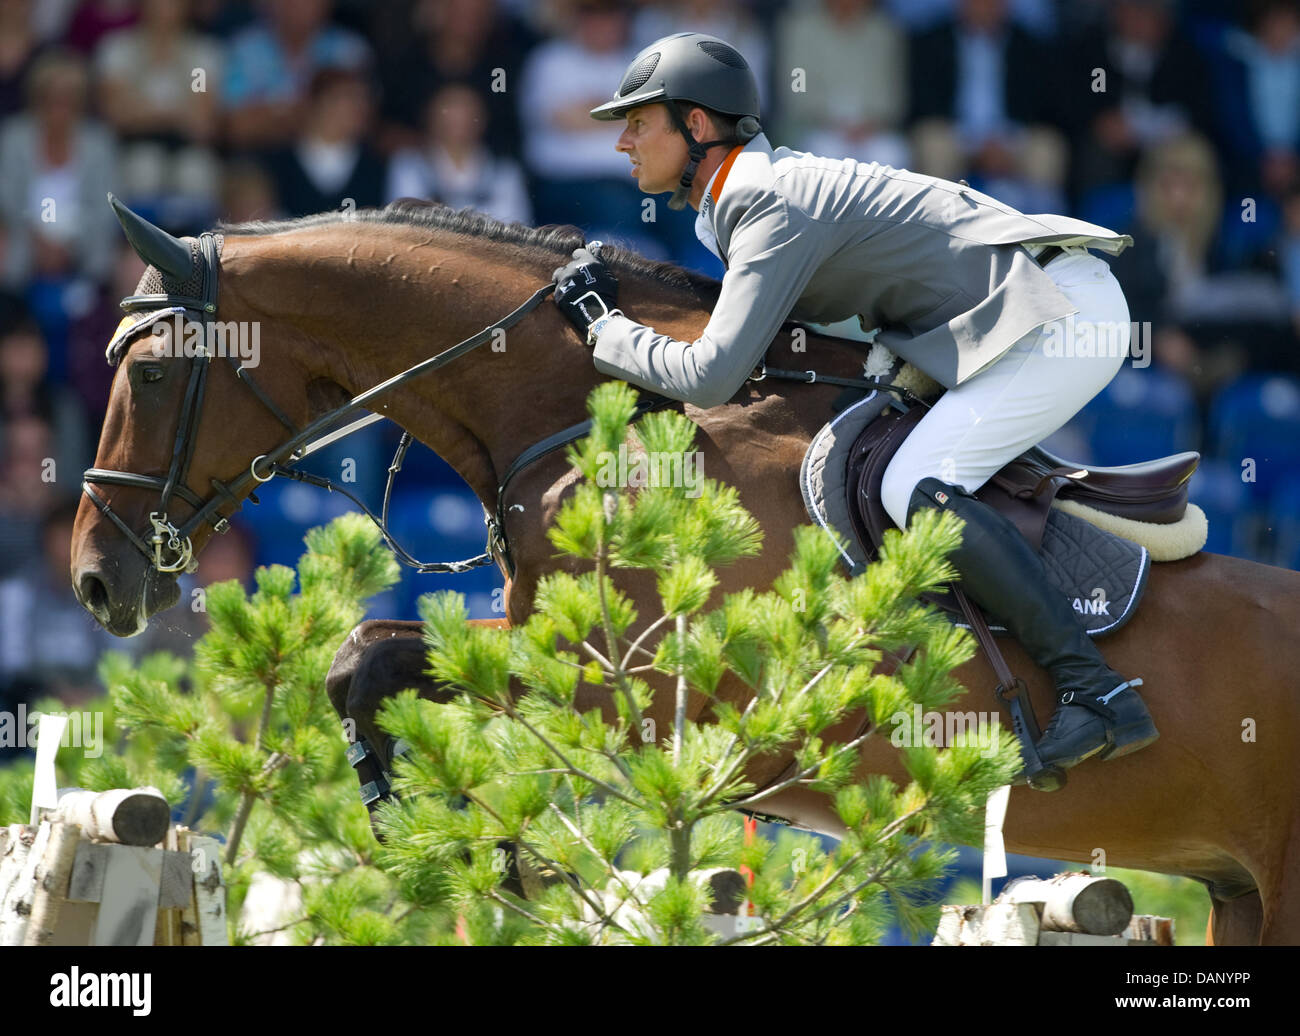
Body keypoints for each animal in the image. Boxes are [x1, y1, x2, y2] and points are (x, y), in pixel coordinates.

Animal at [70, 200, 1300, 945]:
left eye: (149, 372)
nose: (95, 581)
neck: (588, 413)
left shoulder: (644, 686)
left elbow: (373, 658)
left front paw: (475, 846)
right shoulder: (548, 644)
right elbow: (366, 656)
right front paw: (442, 828)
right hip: (1238, 894)